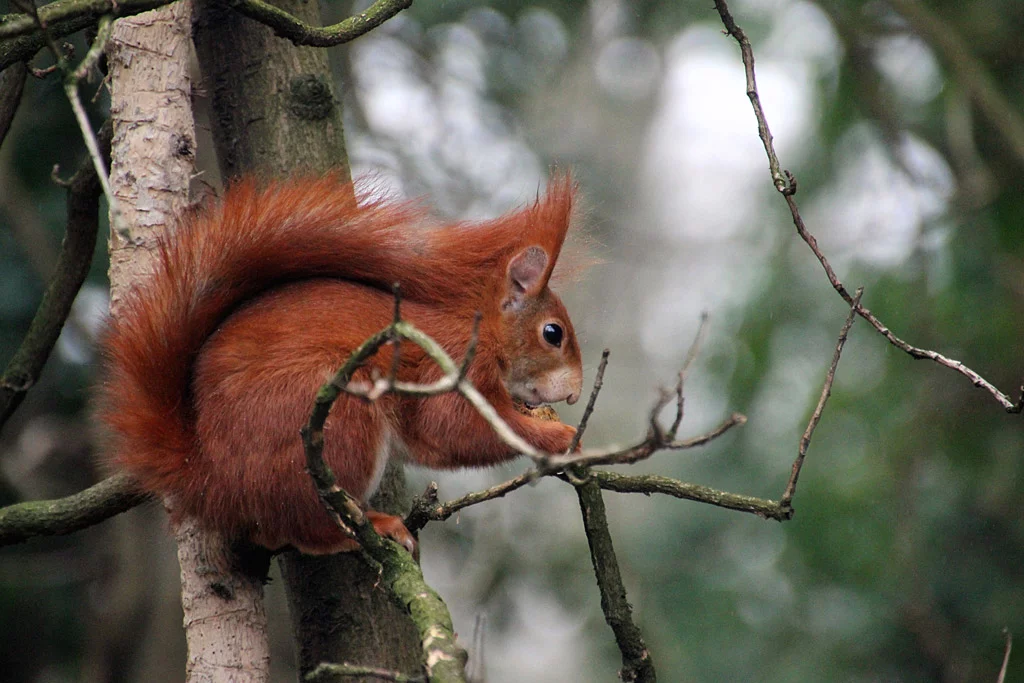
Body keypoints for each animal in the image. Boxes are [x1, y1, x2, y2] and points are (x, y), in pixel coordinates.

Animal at [100, 175, 589, 557]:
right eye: (553, 333)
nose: (574, 393)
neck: (481, 332)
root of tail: (209, 477)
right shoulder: (448, 368)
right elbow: (457, 430)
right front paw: (560, 437)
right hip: (337, 417)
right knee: (304, 529)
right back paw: (374, 528)